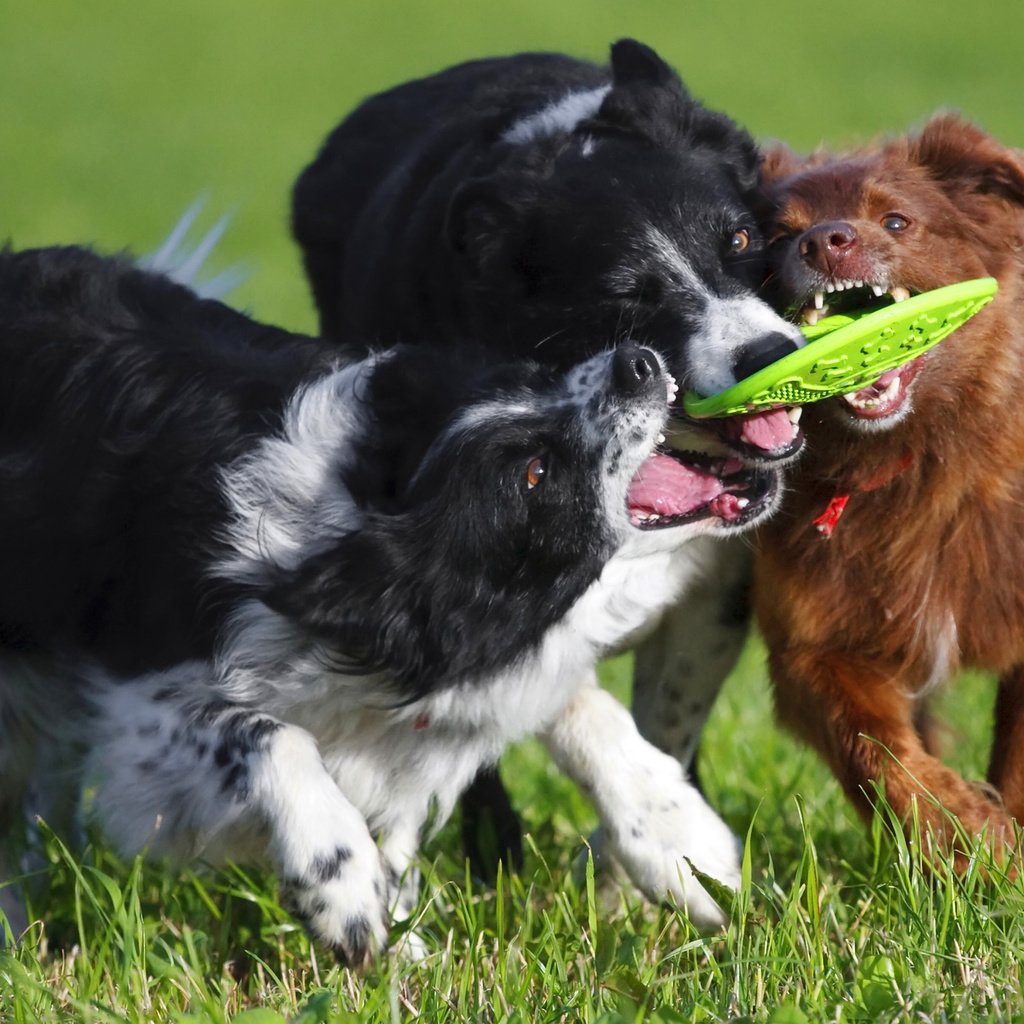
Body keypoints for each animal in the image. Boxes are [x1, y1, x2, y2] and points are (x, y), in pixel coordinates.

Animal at [753, 116, 1024, 860]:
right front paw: (964, 837)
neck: (916, 457)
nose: (824, 241)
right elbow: (878, 751)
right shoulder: (814, 641)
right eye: (777, 237)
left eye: (897, 221)